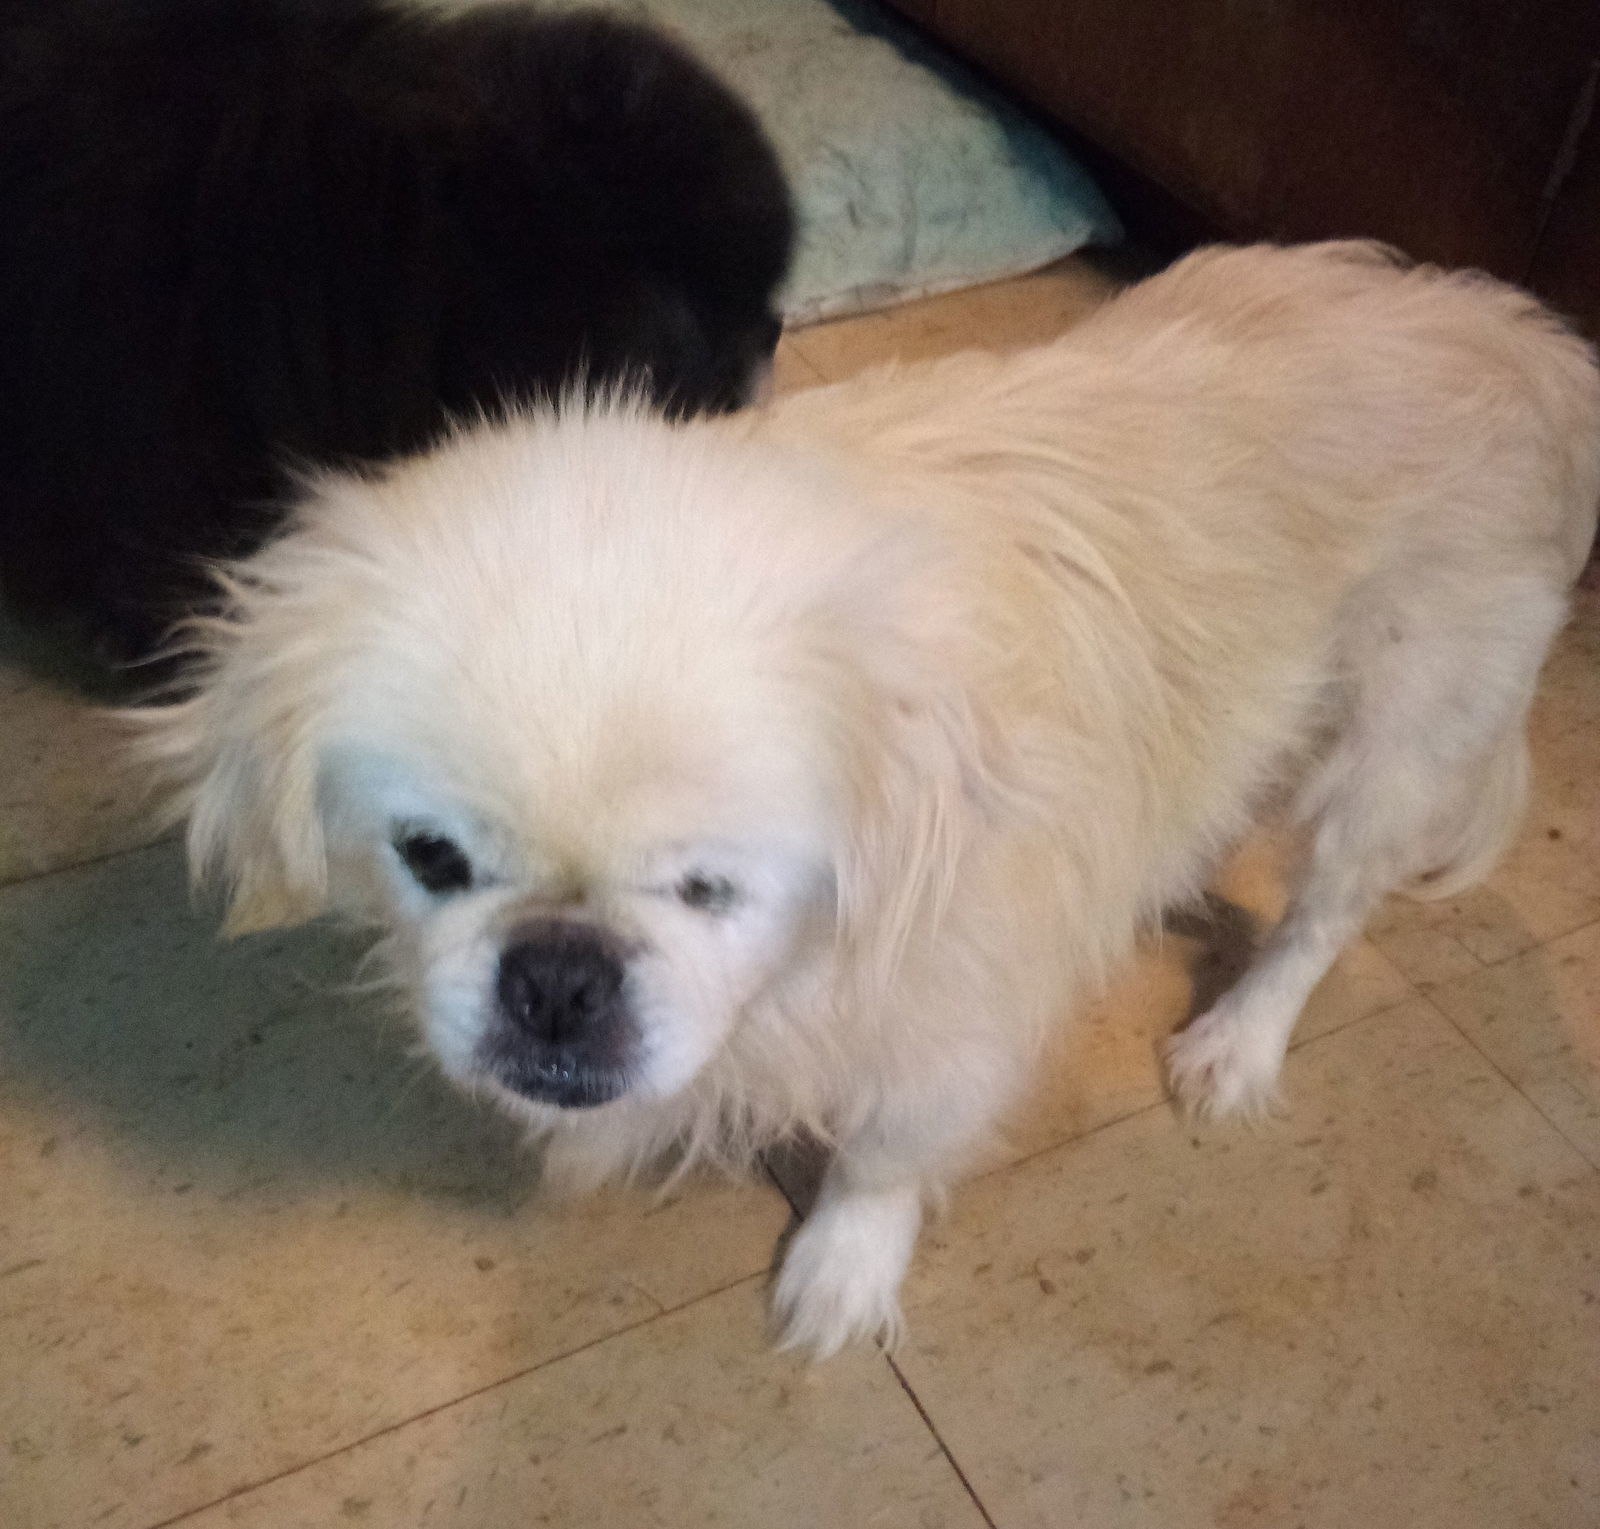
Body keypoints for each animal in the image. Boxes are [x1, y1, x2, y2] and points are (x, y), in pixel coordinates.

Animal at [134, 244, 1600, 1356]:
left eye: (711, 889)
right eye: (431, 858)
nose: (556, 975)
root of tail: (1513, 331)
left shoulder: (956, 1010)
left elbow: (889, 1150)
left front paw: (840, 1276)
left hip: (1404, 735)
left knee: (1322, 916)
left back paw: (1235, 1043)